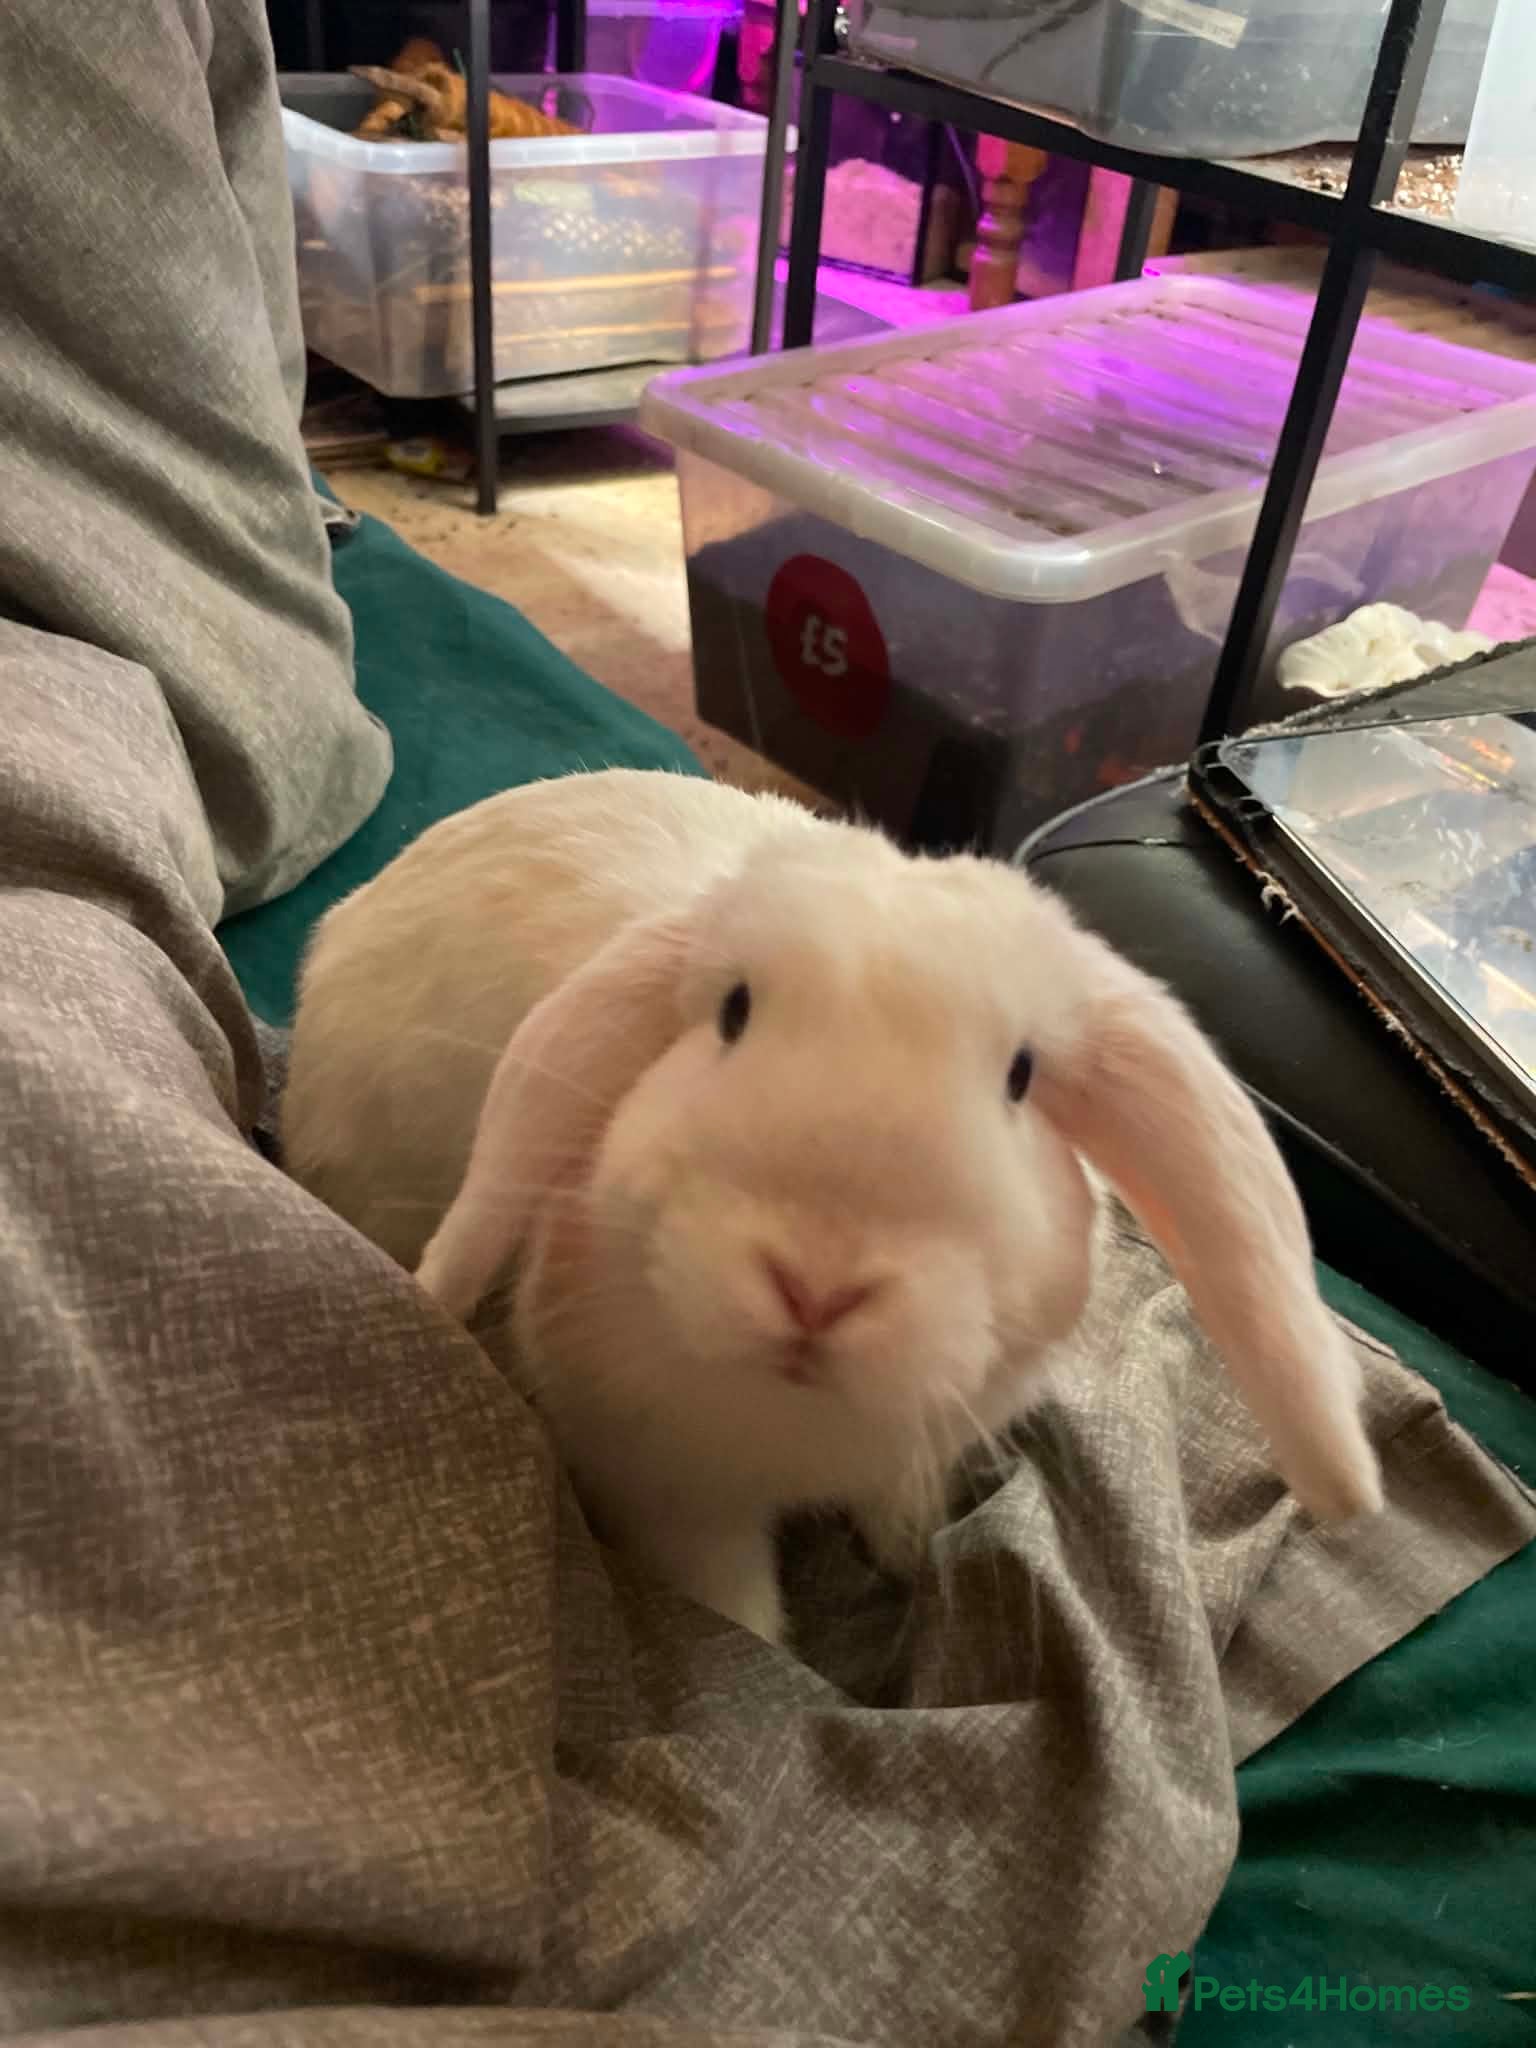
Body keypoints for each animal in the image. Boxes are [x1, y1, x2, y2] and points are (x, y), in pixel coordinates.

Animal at [283, 768, 1383, 1643]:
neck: (809, 1413)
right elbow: (730, 1604)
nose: (816, 1285)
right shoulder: (671, 1492)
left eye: (1021, 1076)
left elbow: (898, 1494)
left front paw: (905, 1549)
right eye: (732, 1013)